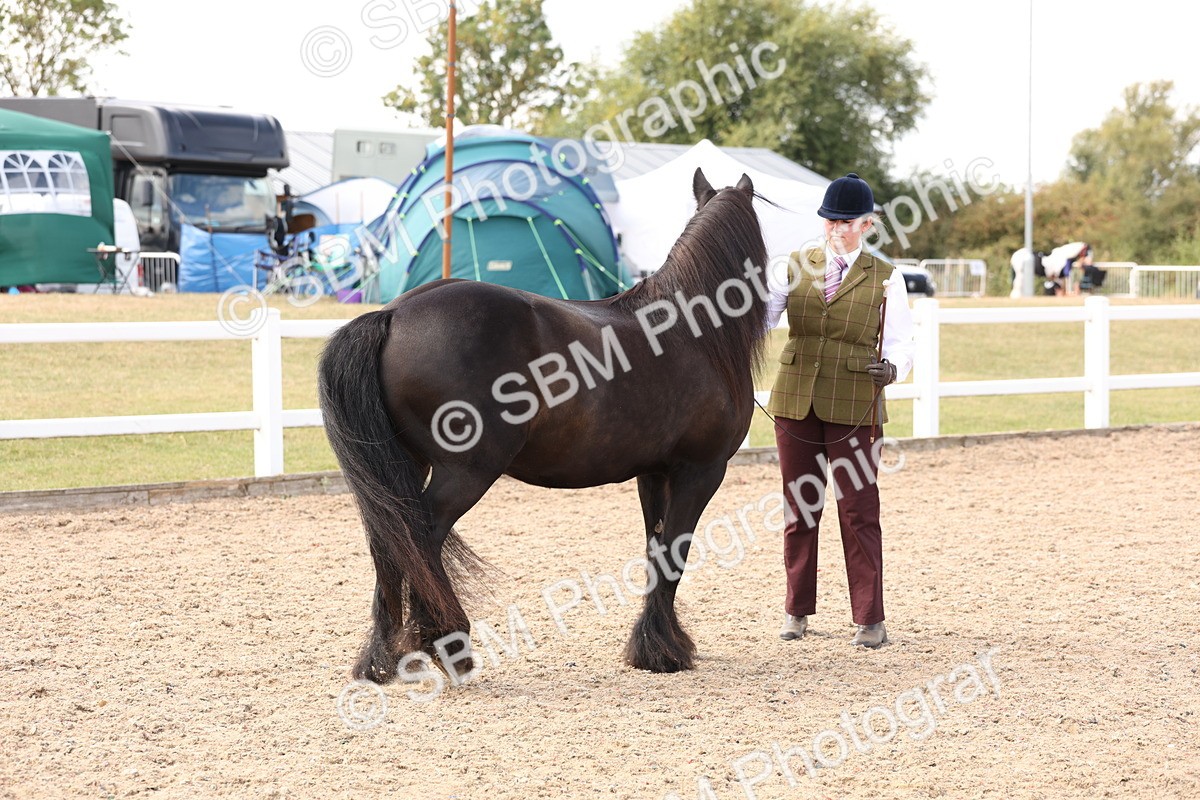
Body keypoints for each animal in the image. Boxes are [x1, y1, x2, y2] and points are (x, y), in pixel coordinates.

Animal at [318, 168, 769, 683]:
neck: (693, 331)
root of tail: (392, 313)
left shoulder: (655, 474)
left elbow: (656, 551)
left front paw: (653, 646)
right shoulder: (700, 471)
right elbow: (674, 553)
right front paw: (665, 651)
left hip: (405, 467)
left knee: (390, 539)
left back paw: (381, 659)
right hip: (465, 471)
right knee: (419, 538)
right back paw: (448, 645)